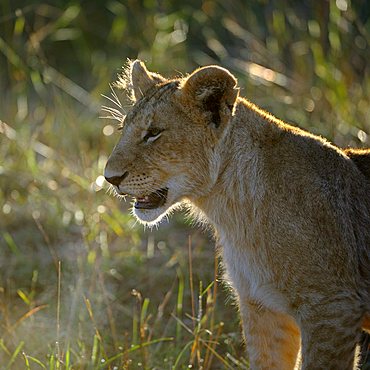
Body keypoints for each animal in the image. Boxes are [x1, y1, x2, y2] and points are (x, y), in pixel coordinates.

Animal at [104, 61, 370, 370]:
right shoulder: (262, 307)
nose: (109, 178)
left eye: (154, 132)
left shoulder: (333, 308)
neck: (233, 211)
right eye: (122, 129)